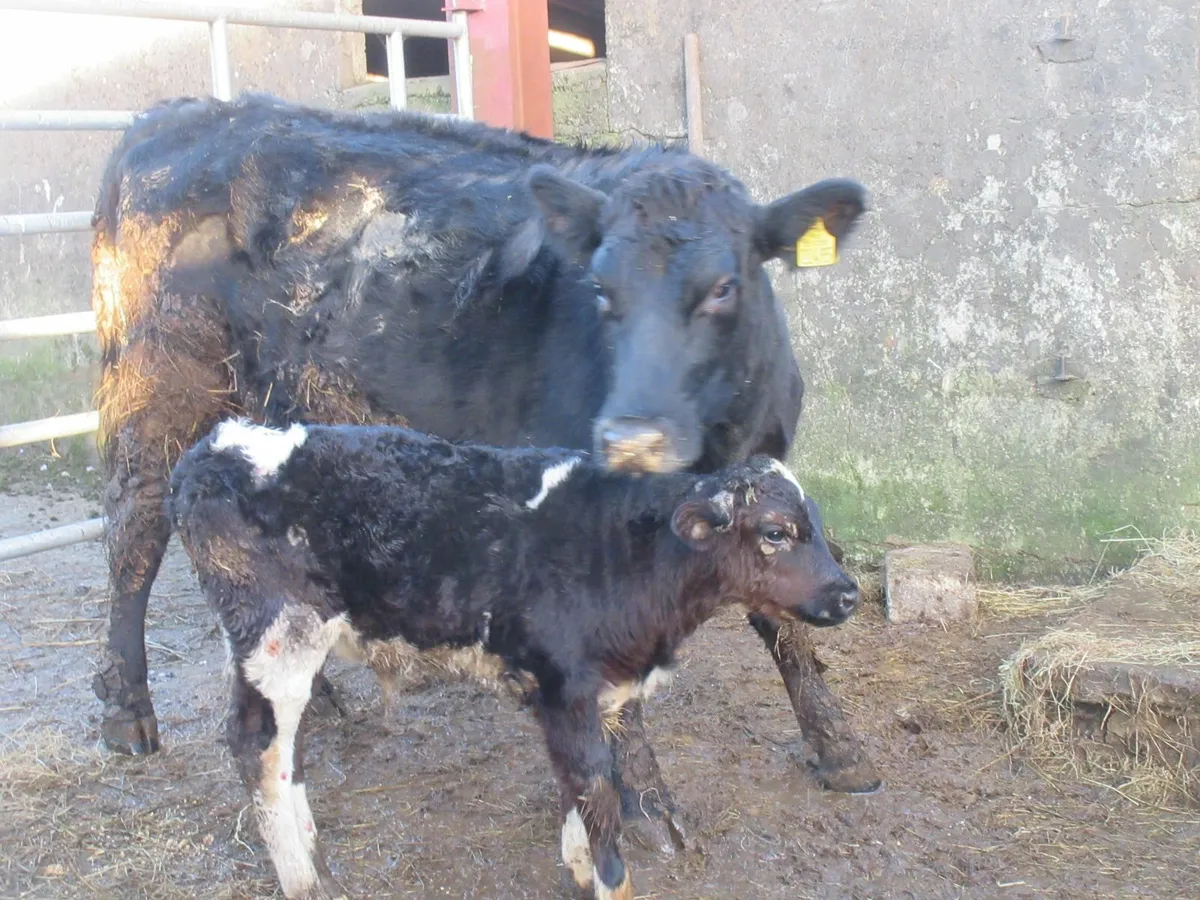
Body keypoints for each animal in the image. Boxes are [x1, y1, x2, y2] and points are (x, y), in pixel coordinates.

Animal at [89, 93, 881, 851]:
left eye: (723, 287)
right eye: (600, 289)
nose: (632, 437)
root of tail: (177, 113)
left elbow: (785, 618)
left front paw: (840, 749)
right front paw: (647, 803)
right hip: (160, 379)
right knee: (135, 525)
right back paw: (127, 711)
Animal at [167, 418, 861, 900]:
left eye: (817, 524)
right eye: (775, 532)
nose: (849, 592)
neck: (626, 553)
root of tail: (213, 446)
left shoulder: (588, 695)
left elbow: (578, 790)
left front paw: (577, 866)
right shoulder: (567, 690)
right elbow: (597, 792)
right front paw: (609, 880)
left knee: (288, 749)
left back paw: (313, 854)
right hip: (277, 637)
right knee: (256, 745)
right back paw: (305, 880)